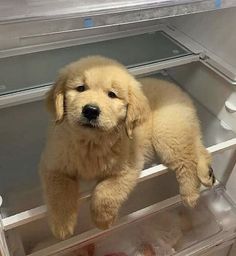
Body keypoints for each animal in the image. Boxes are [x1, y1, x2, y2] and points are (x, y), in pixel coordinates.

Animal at [40, 55, 214, 240]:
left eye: (112, 94)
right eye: (80, 88)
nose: (91, 110)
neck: (91, 142)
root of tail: (177, 89)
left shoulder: (127, 168)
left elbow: (104, 192)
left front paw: (103, 221)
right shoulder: (53, 165)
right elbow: (59, 192)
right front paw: (62, 226)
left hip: (167, 133)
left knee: (187, 161)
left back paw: (190, 195)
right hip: (181, 130)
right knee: (198, 149)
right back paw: (207, 174)